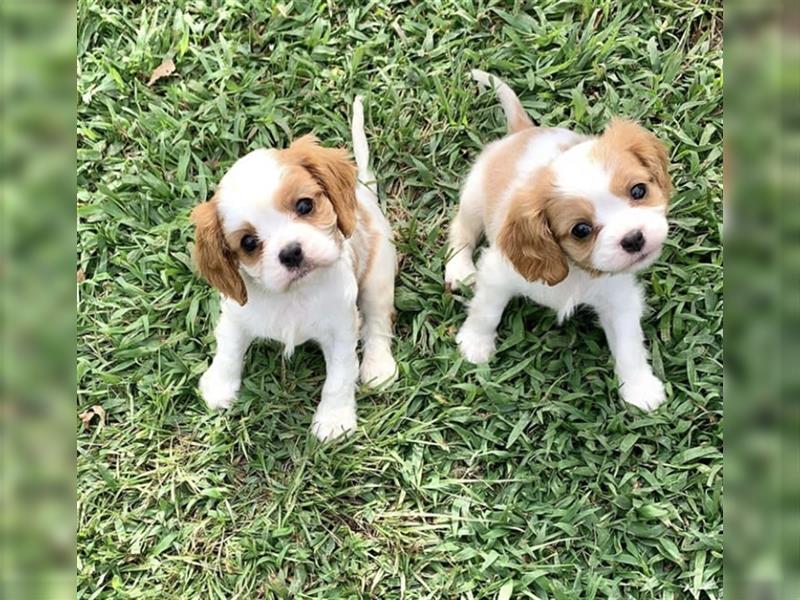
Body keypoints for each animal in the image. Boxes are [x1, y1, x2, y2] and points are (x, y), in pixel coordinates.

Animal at [191, 98, 396, 440]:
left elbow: (340, 377)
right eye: (248, 242)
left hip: (378, 277)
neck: (294, 294)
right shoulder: (235, 314)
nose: (291, 253)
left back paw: (379, 365)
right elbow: (229, 349)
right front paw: (219, 386)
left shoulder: (341, 329)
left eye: (304, 206)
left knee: (378, 321)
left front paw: (334, 419)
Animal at [446, 68, 672, 410]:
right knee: (461, 229)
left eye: (638, 191)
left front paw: (639, 388)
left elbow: (629, 345)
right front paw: (475, 343)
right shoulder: (498, 272)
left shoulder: (620, 298)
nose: (634, 238)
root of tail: (524, 132)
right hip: (473, 197)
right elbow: (486, 309)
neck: (576, 270)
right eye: (581, 230)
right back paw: (459, 268)